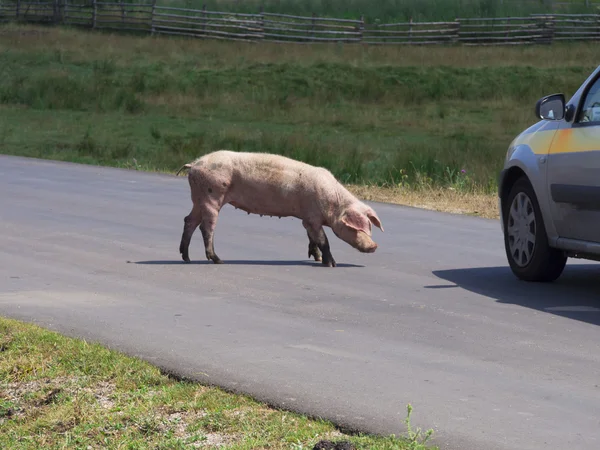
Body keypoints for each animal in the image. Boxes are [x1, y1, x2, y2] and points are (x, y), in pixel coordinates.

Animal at [176, 149, 382, 268]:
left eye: (370, 227)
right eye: (355, 228)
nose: (374, 246)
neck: (333, 204)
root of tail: (193, 164)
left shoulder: (307, 219)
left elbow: (313, 239)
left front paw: (316, 258)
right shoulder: (312, 217)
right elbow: (324, 240)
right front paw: (332, 264)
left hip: (199, 197)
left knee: (189, 220)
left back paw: (186, 258)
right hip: (212, 194)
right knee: (206, 226)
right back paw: (219, 260)